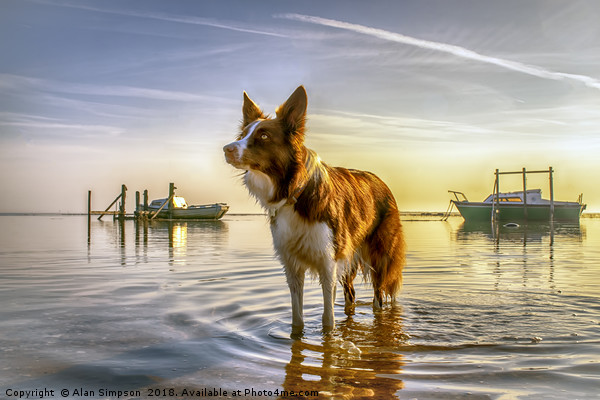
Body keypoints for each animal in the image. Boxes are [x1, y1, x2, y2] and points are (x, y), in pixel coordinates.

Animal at [223, 86, 406, 330]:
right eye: (242, 134)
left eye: (263, 136)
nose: (226, 149)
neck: (295, 193)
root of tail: (381, 181)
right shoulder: (292, 266)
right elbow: (297, 319)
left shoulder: (327, 263)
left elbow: (328, 321)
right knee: (351, 295)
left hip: (380, 257)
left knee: (379, 300)